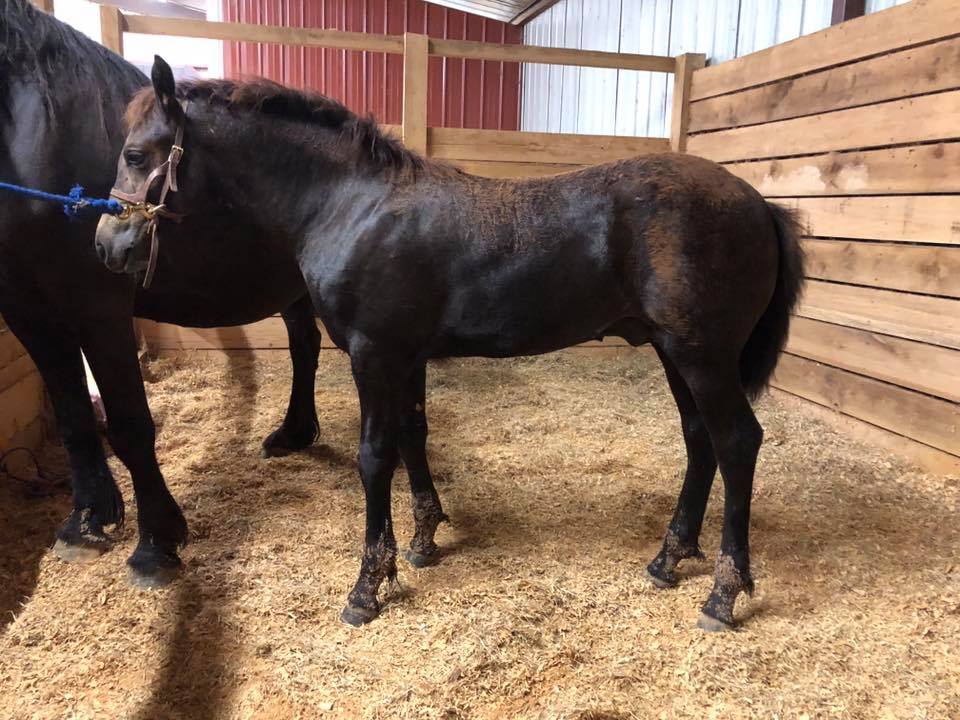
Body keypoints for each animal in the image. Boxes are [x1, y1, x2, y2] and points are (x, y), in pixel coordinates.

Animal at [0, 1, 322, 587]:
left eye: (133, 156)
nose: (106, 241)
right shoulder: (27, 309)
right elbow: (73, 414)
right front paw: (87, 522)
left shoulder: (97, 307)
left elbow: (128, 423)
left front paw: (155, 542)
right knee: (305, 345)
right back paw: (293, 433)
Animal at [96, 56, 805, 630]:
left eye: (135, 154)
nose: (108, 245)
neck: (351, 205)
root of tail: (759, 204)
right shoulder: (405, 357)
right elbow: (414, 435)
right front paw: (423, 541)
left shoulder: (373, 353)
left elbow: (375, 456)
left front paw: (368, 585)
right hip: (673, 352)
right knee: (700, 439)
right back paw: (669, 557)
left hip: (702, 355)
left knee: (737, 441)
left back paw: (723, 593)